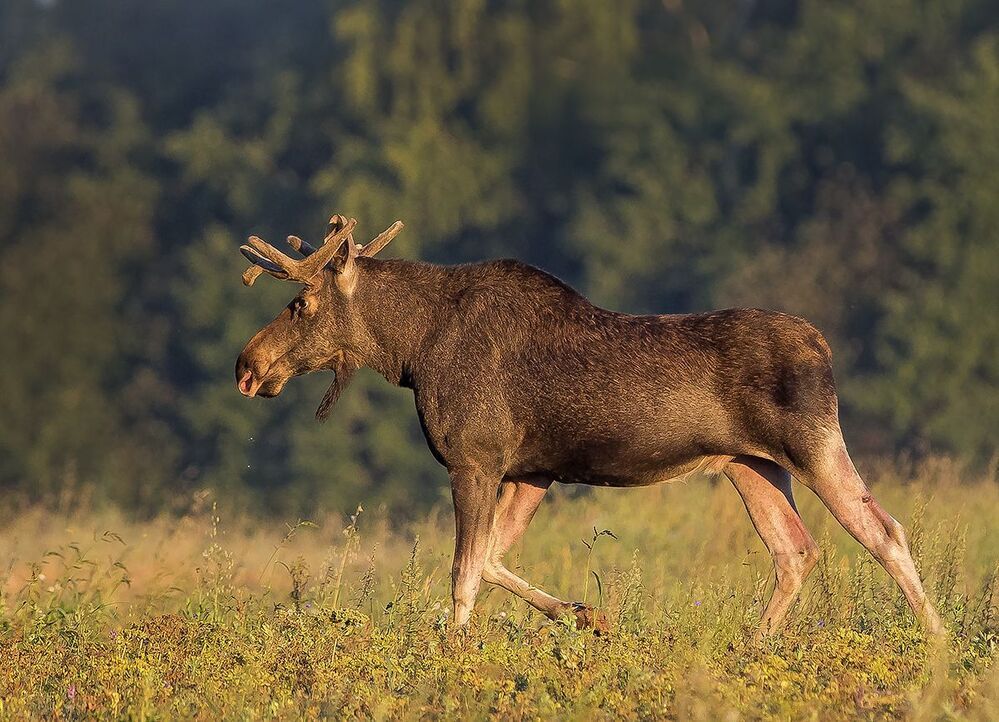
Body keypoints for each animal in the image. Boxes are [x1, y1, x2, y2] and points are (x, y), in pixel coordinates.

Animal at [235, 213, 943, 639]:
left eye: (301, 303)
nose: (246, 365)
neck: (411, 351)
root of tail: (823, 344)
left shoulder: (475, 458)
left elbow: (464, 567)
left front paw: (453, 648)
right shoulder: (533, 471)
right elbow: (492, 558)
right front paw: (585, 614)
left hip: (814, 444)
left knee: (885, 531)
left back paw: (935, 641)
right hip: (752, 465)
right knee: (795, 550)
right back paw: (752, 646)